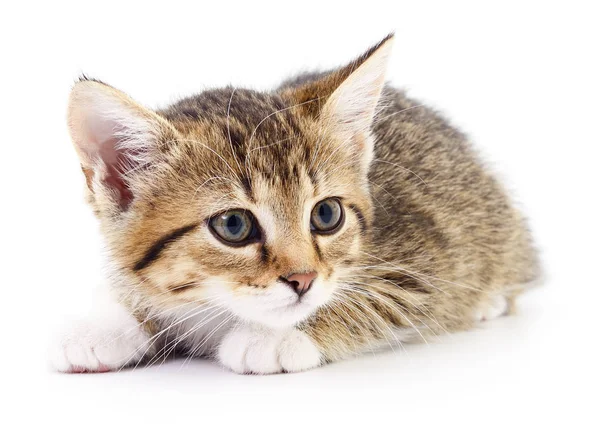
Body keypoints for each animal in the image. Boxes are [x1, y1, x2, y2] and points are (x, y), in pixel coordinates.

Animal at [50, 35, 540, 374]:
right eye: (233, 226)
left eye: (326, 215)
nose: (303, 279)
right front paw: (102, 325)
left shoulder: (422, 265)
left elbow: (369, 299)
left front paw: (274, 337)